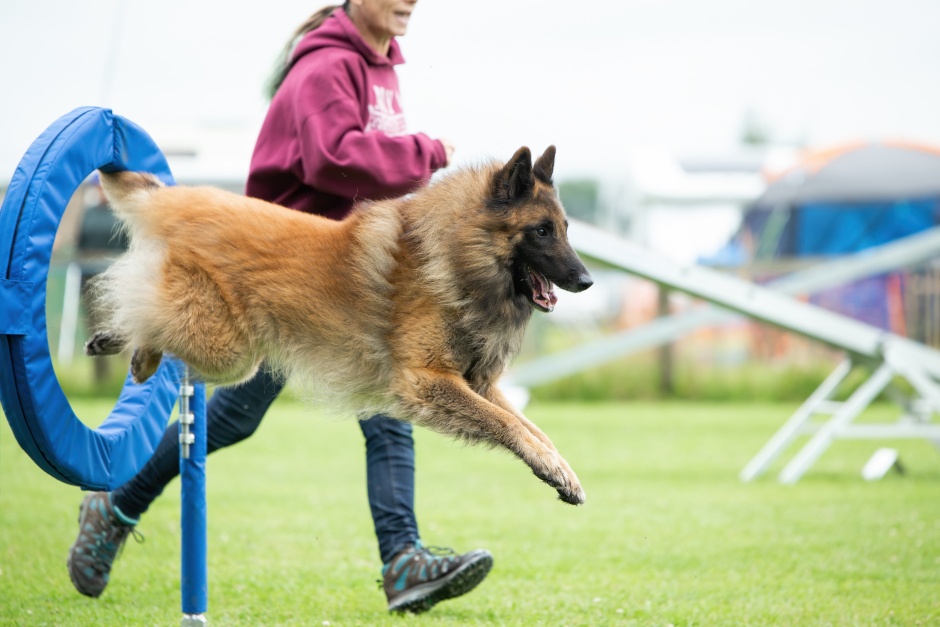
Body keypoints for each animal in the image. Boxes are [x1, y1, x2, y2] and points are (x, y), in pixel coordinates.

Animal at [84, 147, 592, 506]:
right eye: (542, 231)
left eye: (566, 228)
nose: (586, 280)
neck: (455, 256)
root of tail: (174, 198)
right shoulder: (426, 381)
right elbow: (507, 425)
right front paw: (551, 467)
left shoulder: (476, 383)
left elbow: (532, 427)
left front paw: (561, 470)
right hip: (228, 350)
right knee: (146, 312)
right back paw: (128, 345)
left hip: (232, 353)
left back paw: (122, 347)